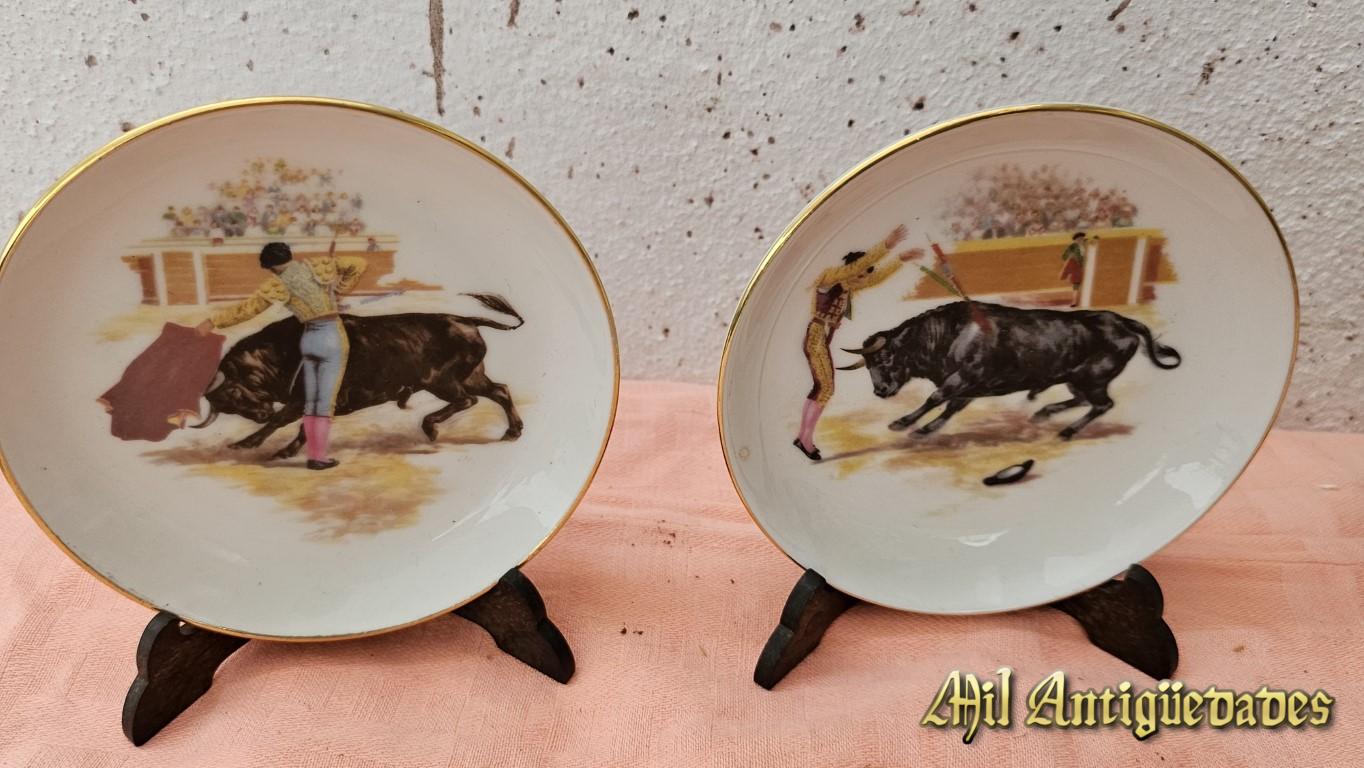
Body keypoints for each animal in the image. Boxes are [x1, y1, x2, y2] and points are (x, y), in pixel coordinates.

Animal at [190, 293, 524, 459]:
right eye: (225, 407)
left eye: (234, 391)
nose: (259, 413)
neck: (283, 352)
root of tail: (465, 319)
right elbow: (297, 424)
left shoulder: (310, 400)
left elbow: (284, 422)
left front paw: (258, 446)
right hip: (470, 377)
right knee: (500, 391)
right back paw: (512, 432)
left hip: (440, 381)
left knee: (467, 400)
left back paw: (430, 428)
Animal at [835, 301, 1181, 440]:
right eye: (868, 366)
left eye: (885, 359)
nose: (880, 391)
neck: (947, 335)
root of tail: (1121, 321)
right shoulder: (969, 387)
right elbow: (950, 407)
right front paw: (924, 429)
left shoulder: (962, 379)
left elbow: (935, 399)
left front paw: (902, 423)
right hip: (1077, 378)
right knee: (1086, 401)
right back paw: (1043, 413)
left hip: (1093, 377)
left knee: (1102, 404)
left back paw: (1066, 430)